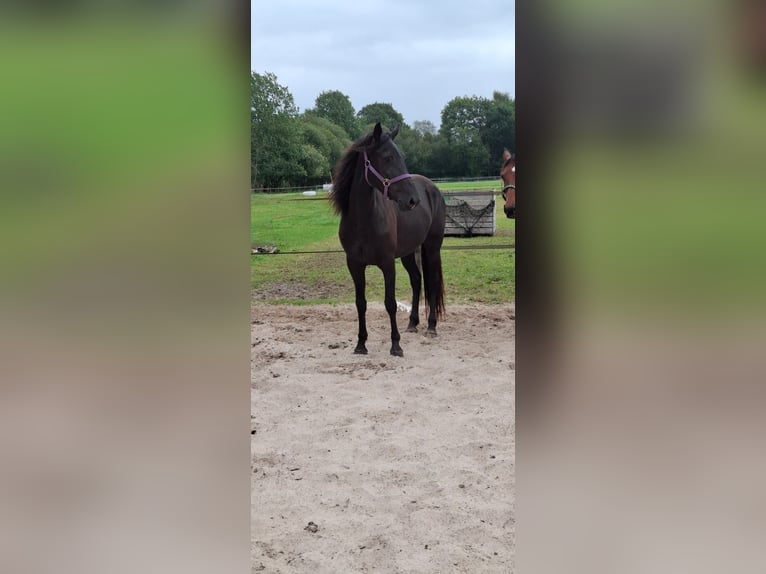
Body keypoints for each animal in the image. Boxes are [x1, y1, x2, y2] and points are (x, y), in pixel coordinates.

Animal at [328, 122, 448, 356]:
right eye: (388, 157)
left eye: (400, 156)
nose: (413, 200)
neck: (363, 221)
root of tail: (432, 188)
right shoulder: (354, 265)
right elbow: (360, 303)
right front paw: (361, 344)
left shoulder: (387, 263)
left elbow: (390, 303)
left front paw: (396, 345)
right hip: (409, 252)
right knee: (417, 280)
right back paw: (412, 323)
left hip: (432, 247)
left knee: (432, 281)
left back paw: (431, 327)